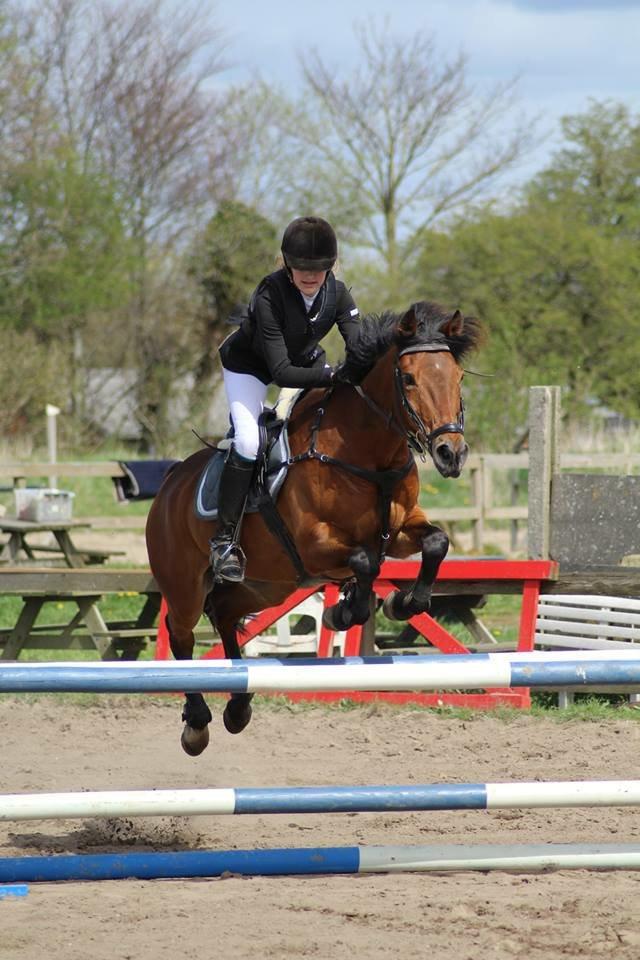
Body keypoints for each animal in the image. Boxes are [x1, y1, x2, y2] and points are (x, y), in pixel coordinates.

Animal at [146, 300, 483, 755]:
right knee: (181, 634)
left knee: (225, 612)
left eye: (458, 377)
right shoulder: (313, 545)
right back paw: (197, 724)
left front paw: (401, 603)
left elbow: (435, 542)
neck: (369, 454)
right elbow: (364, 562)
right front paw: (345, 611)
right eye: (409, 379)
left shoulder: (397, 532)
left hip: (268, 584)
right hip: (185, 584)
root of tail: (169, 485)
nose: (451, 454)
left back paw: (238, 706)